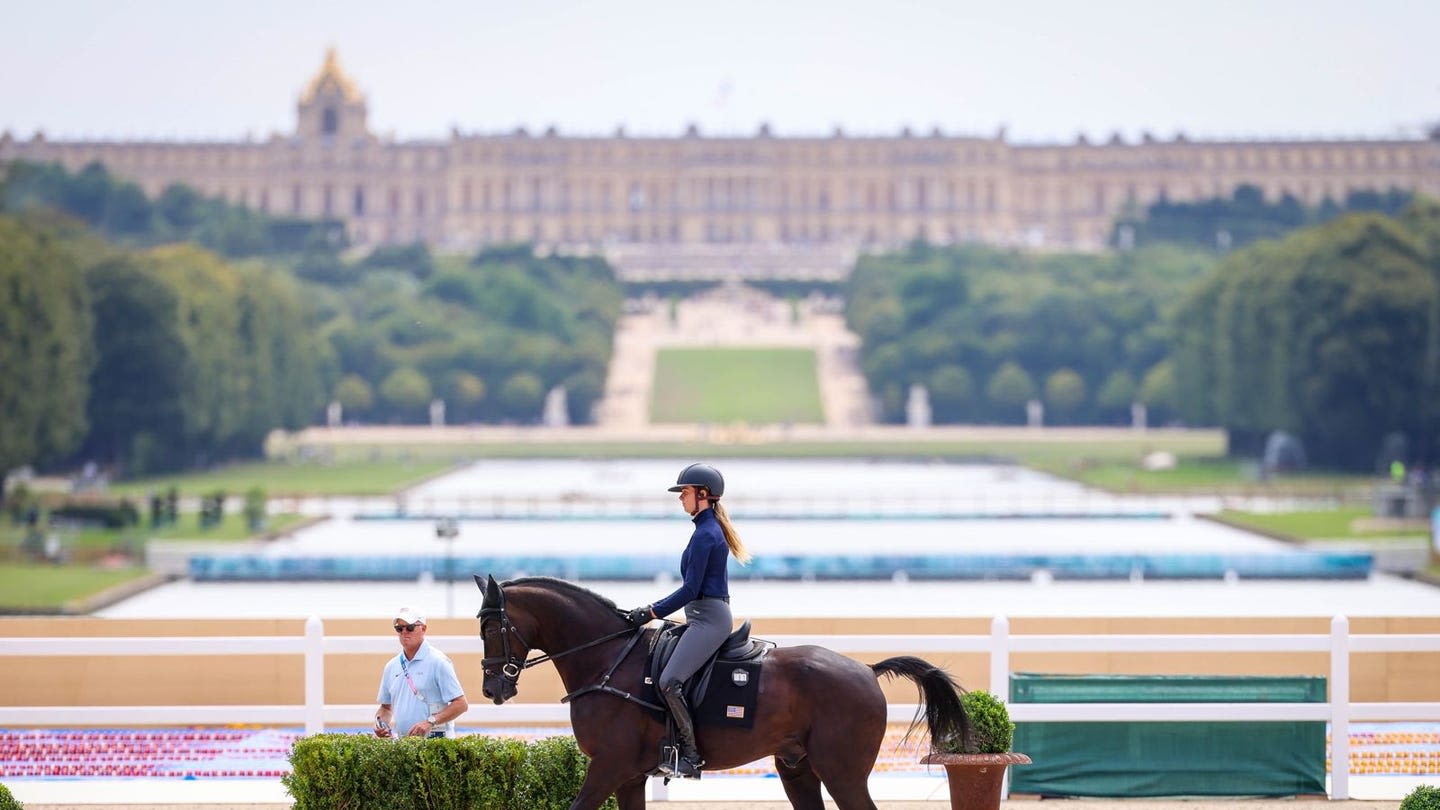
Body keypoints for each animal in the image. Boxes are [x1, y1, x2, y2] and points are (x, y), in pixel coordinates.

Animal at [475, 573, 967, 807]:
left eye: (492, 627)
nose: (493, 687)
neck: (608, 659)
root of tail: (866, 670)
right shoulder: (629, 776)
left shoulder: (608, 767)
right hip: (797, 769)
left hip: (841, 772)